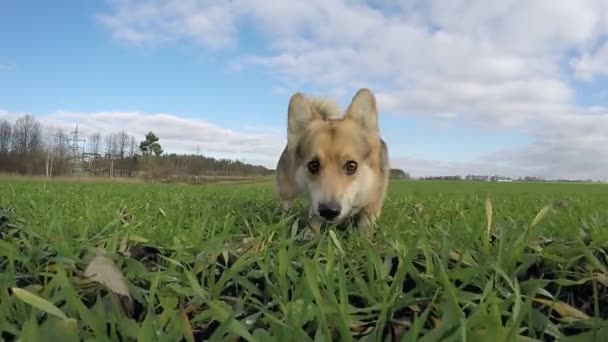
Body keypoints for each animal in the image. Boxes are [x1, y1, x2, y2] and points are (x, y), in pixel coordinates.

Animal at [276, 87, 390, 234]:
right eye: (313, 165)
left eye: (351, 165)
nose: (329, 211)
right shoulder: (315, 203)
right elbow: (314, 220)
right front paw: (309, 235)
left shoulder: (373, 205)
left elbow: (365, 226)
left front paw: (363, 236)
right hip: (287, 189)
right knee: (286, 205)